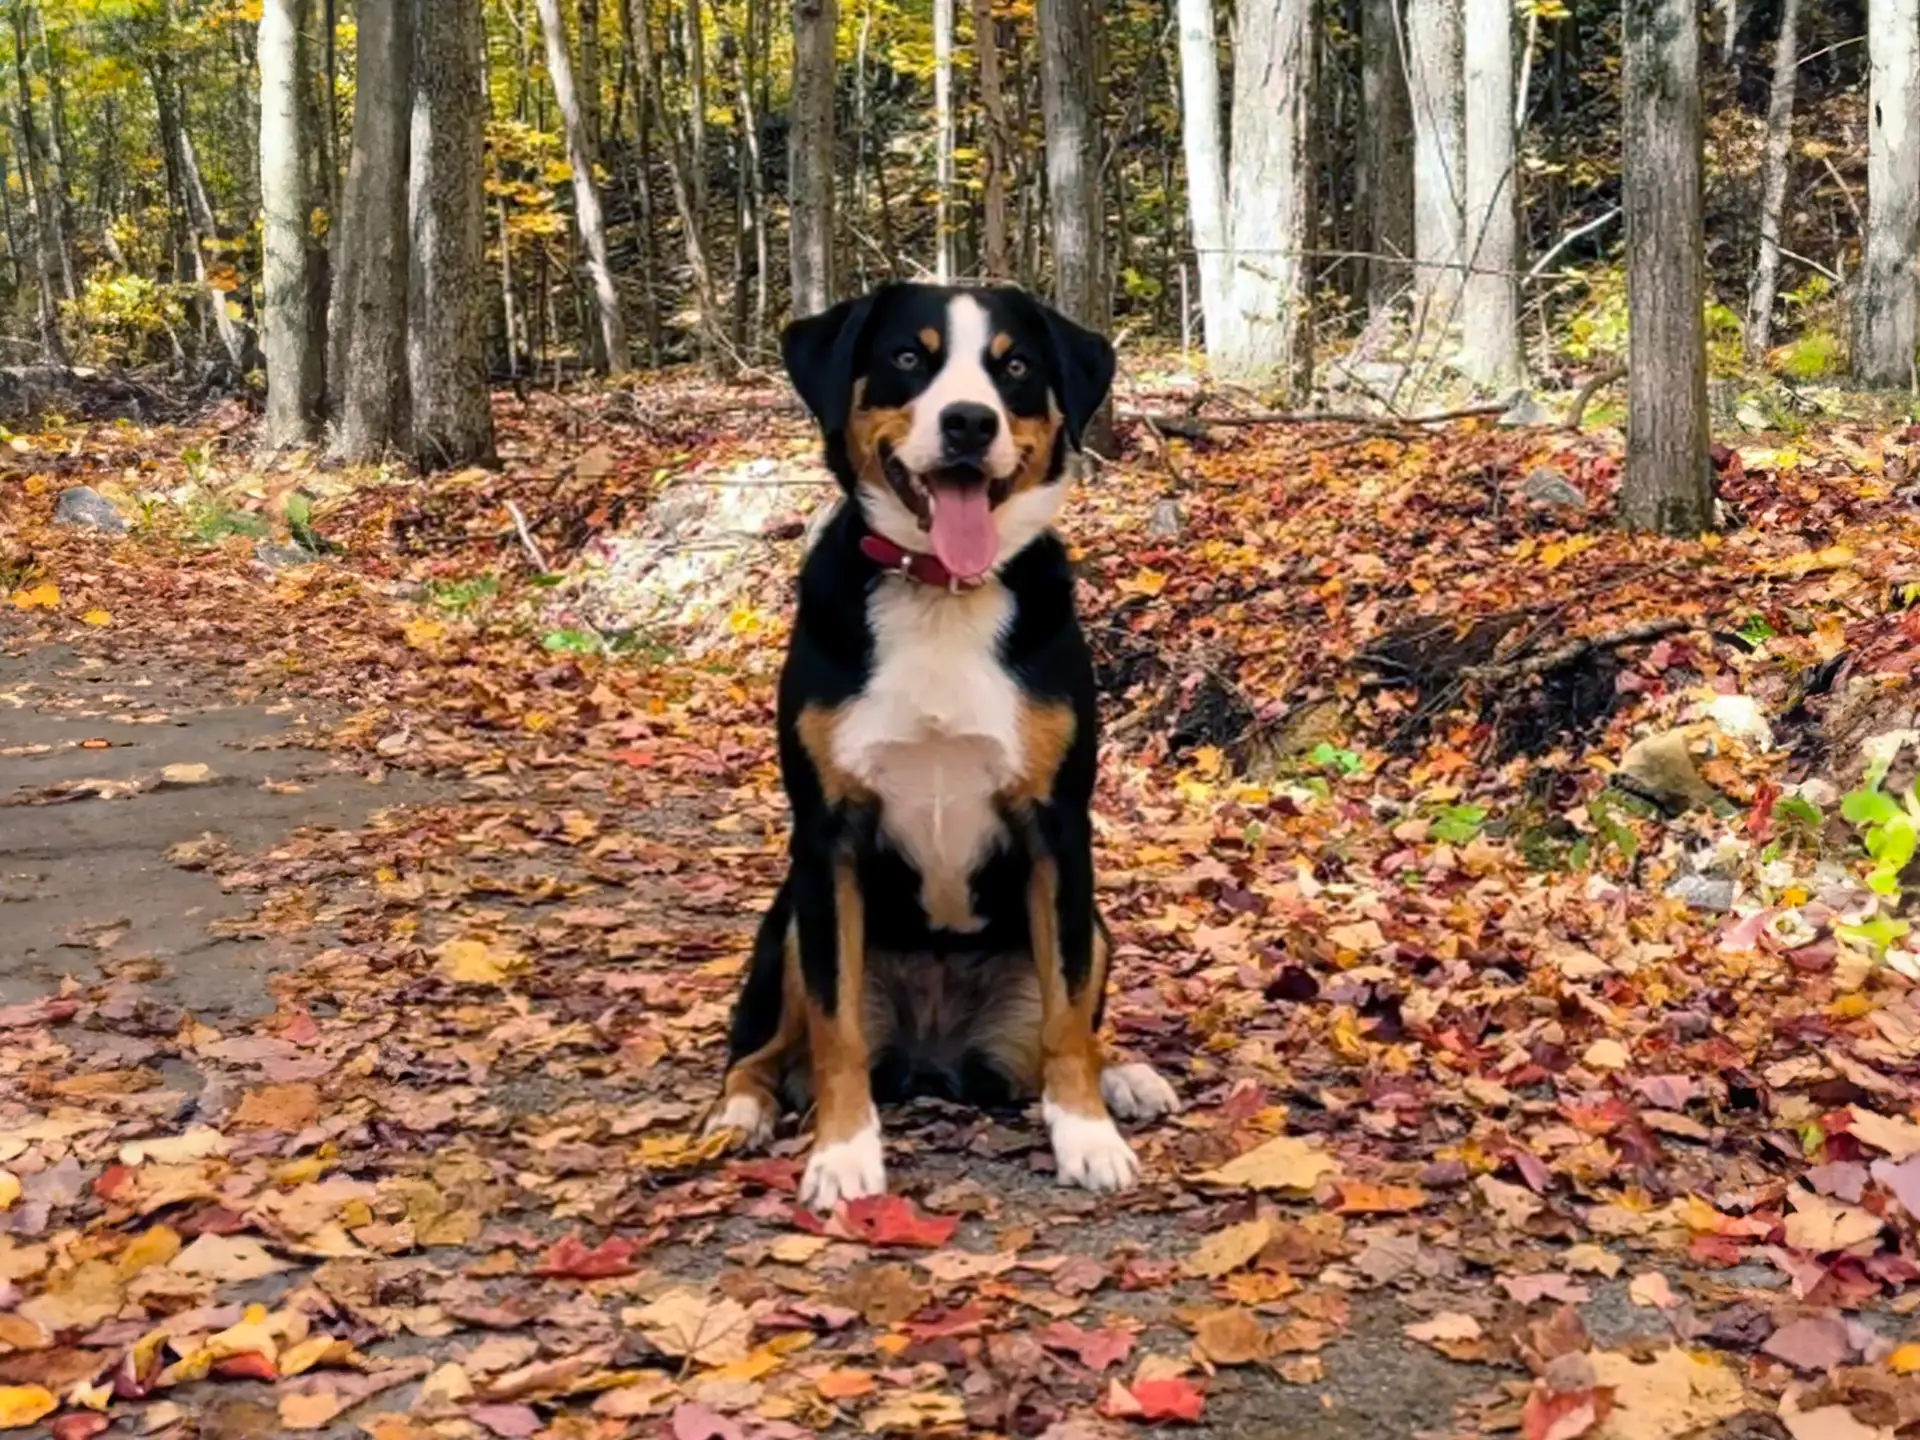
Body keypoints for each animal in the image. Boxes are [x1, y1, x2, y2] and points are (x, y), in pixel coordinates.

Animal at [714, 282, 1175, 1205]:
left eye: (1016, 366)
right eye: (906, 357)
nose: (969, 422)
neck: (942, 593)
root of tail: (934, 1056)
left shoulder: (1058, 827)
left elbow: (1070, 1015)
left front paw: (1087, 1134)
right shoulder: (828, 837)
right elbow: (836, 1029)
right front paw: (844, 1152)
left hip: (1094, 922)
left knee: (1067, 1029)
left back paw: (1125, 1078)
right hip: (786, 925)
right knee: (760, 1052)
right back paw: (742, 1113)